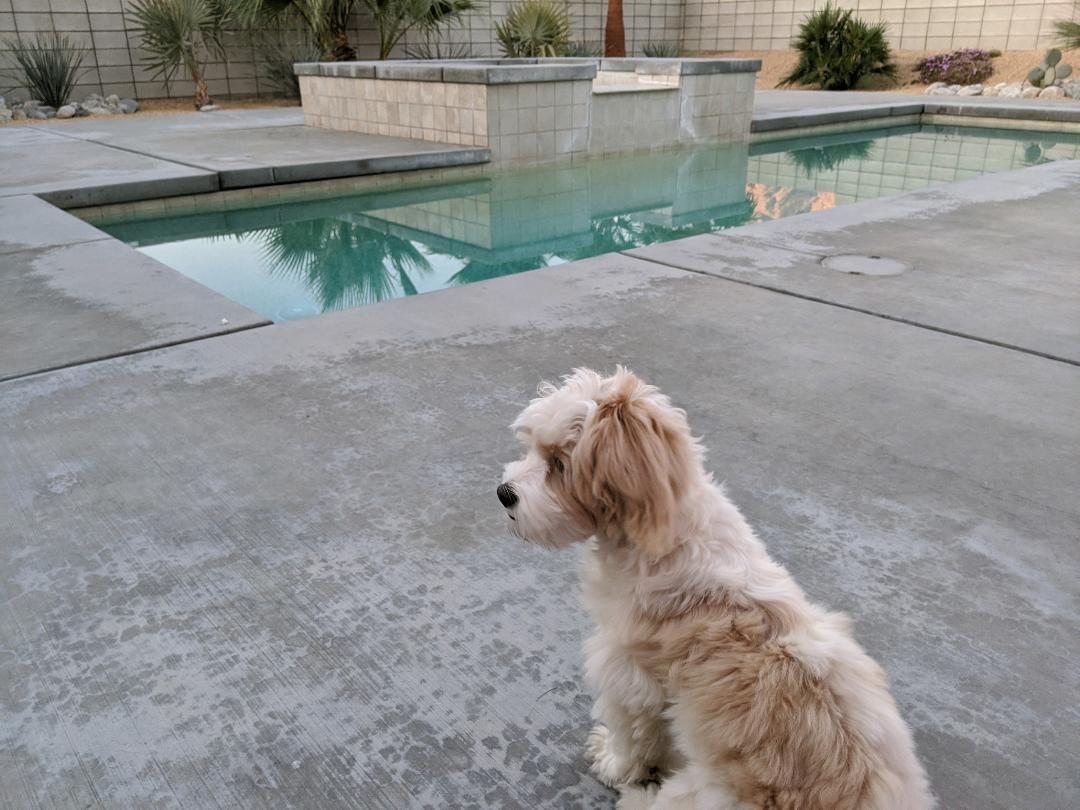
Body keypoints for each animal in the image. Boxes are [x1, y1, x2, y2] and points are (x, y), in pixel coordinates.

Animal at [498, 367, 933, 809]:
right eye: (532, 448)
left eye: (558, 464)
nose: (504, 493)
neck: (669, 537)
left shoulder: (627, 674)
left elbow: (633, 738)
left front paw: (613, 764)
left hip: (697, 795)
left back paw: (640, 796)